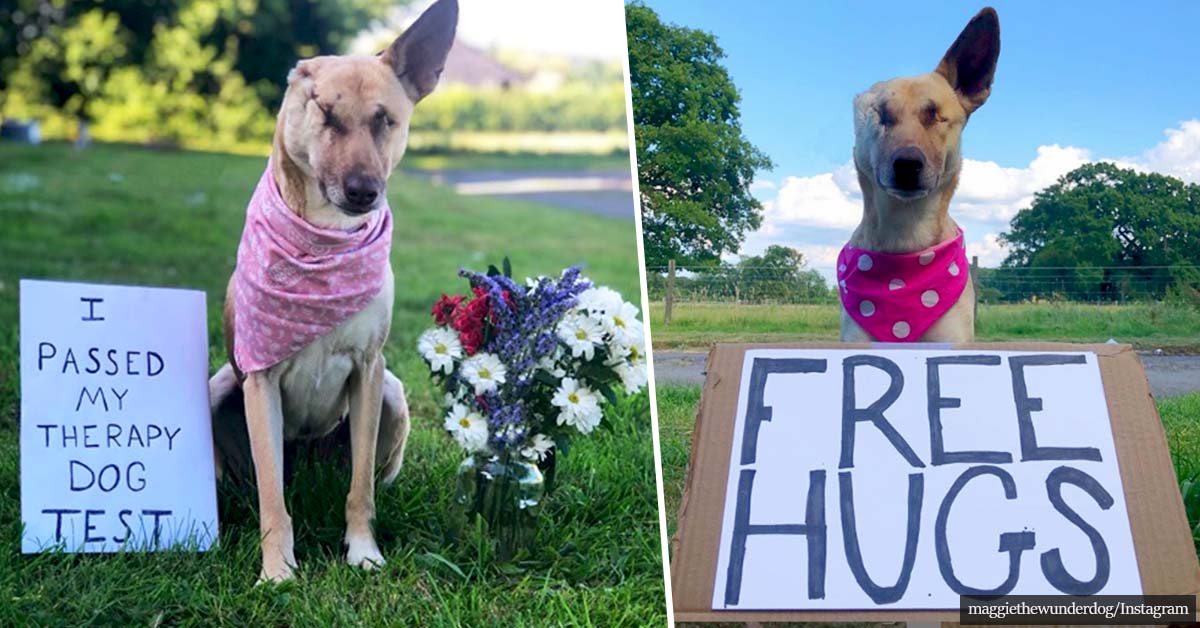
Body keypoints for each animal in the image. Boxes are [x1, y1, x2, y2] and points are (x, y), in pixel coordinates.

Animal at [207, 0, 458, 583]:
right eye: (325, 111)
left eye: (386, 119)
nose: (365, 192)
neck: (323, 243)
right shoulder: (259, 381)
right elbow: (272, 496)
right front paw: (277, 570)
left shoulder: (368, 369)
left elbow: (360, 488)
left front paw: (363, 551)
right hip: (218, 388)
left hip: (393, 393)